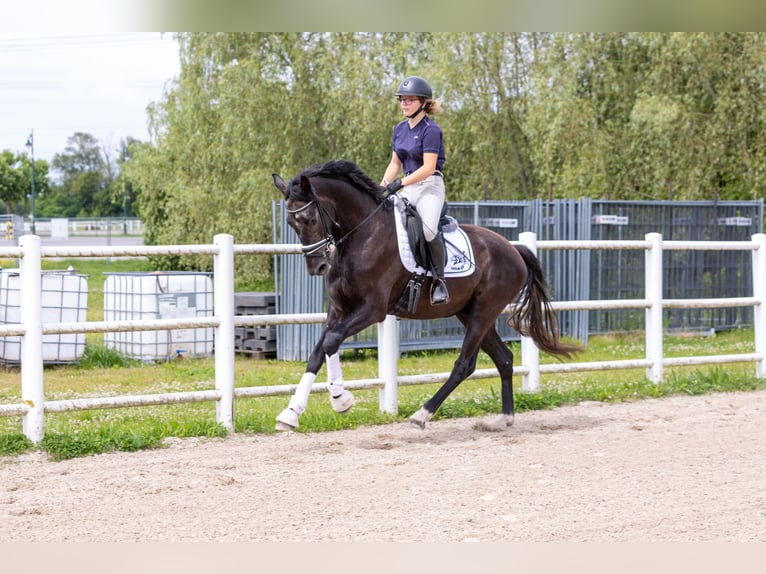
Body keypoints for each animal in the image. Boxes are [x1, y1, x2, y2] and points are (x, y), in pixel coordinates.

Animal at [272, 160, 584, 434]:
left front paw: (340, 399)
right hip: (469, 312)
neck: (363, 234)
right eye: (290, 223)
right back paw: (504, 419)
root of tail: (513, 248)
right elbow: (320, 350)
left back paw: (421, 415)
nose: (317, 268)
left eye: (309, 218)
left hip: (484, 311)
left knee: (464, 365)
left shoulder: (373, 309)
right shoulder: (338, 308)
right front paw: (291, 413)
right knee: (504, 359)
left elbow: (332, 341)